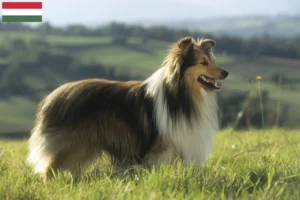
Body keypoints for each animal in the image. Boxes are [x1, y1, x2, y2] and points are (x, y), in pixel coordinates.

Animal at [27, 36, 230, 181]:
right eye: (203, 63)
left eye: (211, 60)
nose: (226, 72)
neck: (180, 95)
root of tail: (53, 97)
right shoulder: (159, 149)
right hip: (70, 146)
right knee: (48, 171)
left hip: (83, 148)